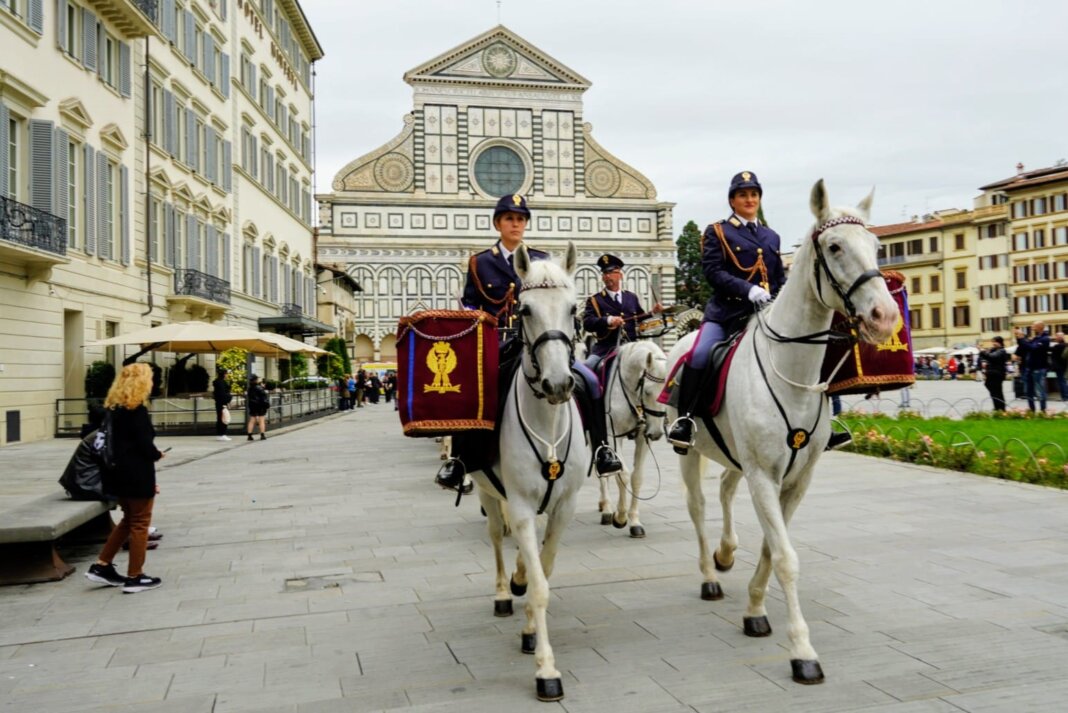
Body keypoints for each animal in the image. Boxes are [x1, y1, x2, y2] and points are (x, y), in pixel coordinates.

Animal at [472, 241, 589, 700]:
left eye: (574, 308)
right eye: (523, 310)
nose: (558, 384)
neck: (548, 423)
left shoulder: (565, 506)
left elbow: (546, 567)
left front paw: (529, 633)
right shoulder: (519, 505)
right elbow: (539, 586)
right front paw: (546, 670)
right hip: (487, 490)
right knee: (495, 538)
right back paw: (506, 592)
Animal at [598, 339, 662, 533]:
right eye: (647, 391)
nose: (657, 433)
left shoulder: (643, 437)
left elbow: (636, 477)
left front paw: (634, 521)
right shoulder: (613, 436)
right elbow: (623, 475)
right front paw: (620, 516)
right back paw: (606, 508)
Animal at [666, 179, 901, 683]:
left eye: (876, 246)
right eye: (834, 246)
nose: (885, 316)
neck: (792, 370)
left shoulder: (794, 479)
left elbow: (774, 549)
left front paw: (755, 609)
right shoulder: (763, 476)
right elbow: (787, 557)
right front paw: (802, 651)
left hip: (737, 459)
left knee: (725, 491)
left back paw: (726, 552)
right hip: (690, 451)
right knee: (698, 506)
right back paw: (710, 574)